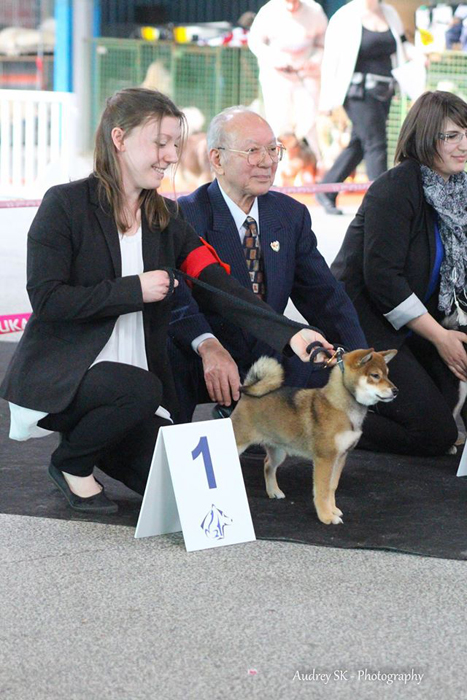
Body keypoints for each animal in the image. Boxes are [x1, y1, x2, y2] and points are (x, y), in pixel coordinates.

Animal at [233, 348, 398, 524]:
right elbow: (322, 490)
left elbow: (332, 487)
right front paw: (326, 516)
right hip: (239, 443)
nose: (396, 391)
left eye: (387, 374)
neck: (341, 407)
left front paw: (333, 510)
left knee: (268, 465)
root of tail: (248, 393)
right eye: (375, 375)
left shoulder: (340, 457)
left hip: (279, 451)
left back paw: (274, 491)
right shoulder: (325, 458)